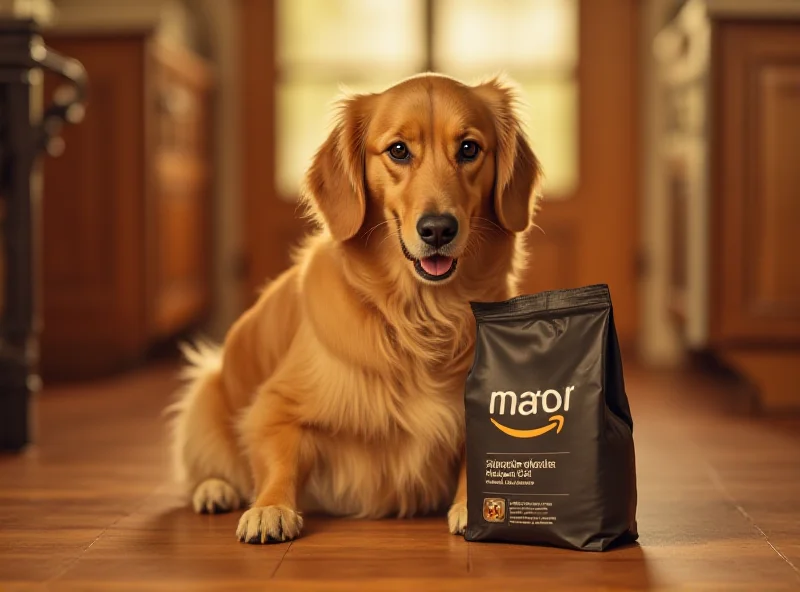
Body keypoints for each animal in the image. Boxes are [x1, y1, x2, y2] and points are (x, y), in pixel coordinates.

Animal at [169, 71, 544, 544]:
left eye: (469, 148)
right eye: (398, 150)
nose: (438, 229)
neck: (420, 315)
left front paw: (470, 506)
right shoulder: (274, 404)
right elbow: (278, 456)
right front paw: (270, 508)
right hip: (205, 392)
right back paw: (214, 489)